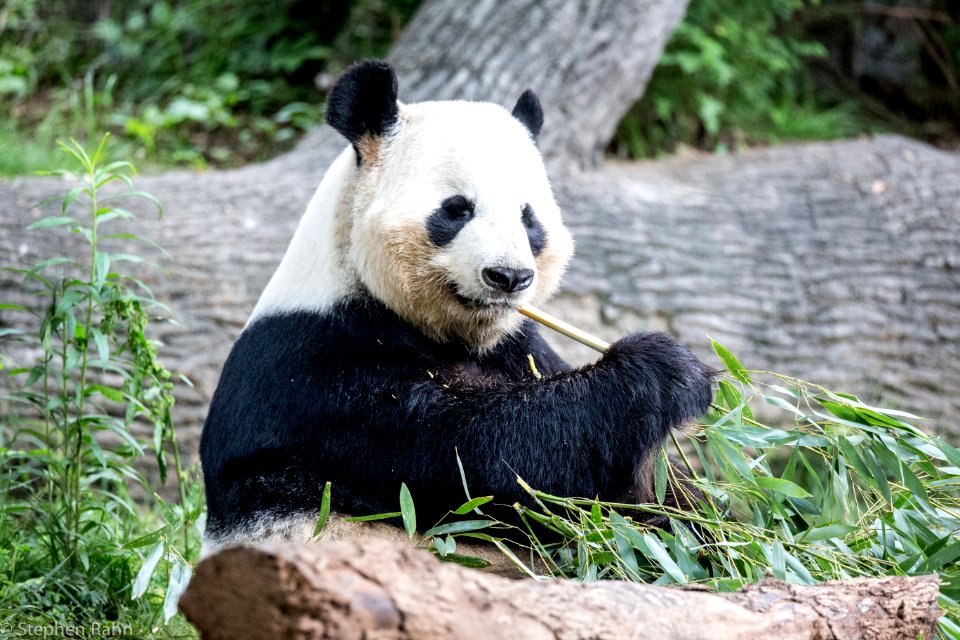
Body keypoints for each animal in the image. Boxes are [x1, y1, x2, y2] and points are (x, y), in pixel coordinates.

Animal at [201, 62, 712, 556]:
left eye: (529, 217)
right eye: (457, 209)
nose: (509, 277)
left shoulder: (519, 346)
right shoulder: (319, 378)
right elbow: (482, 458)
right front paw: (662, 370)